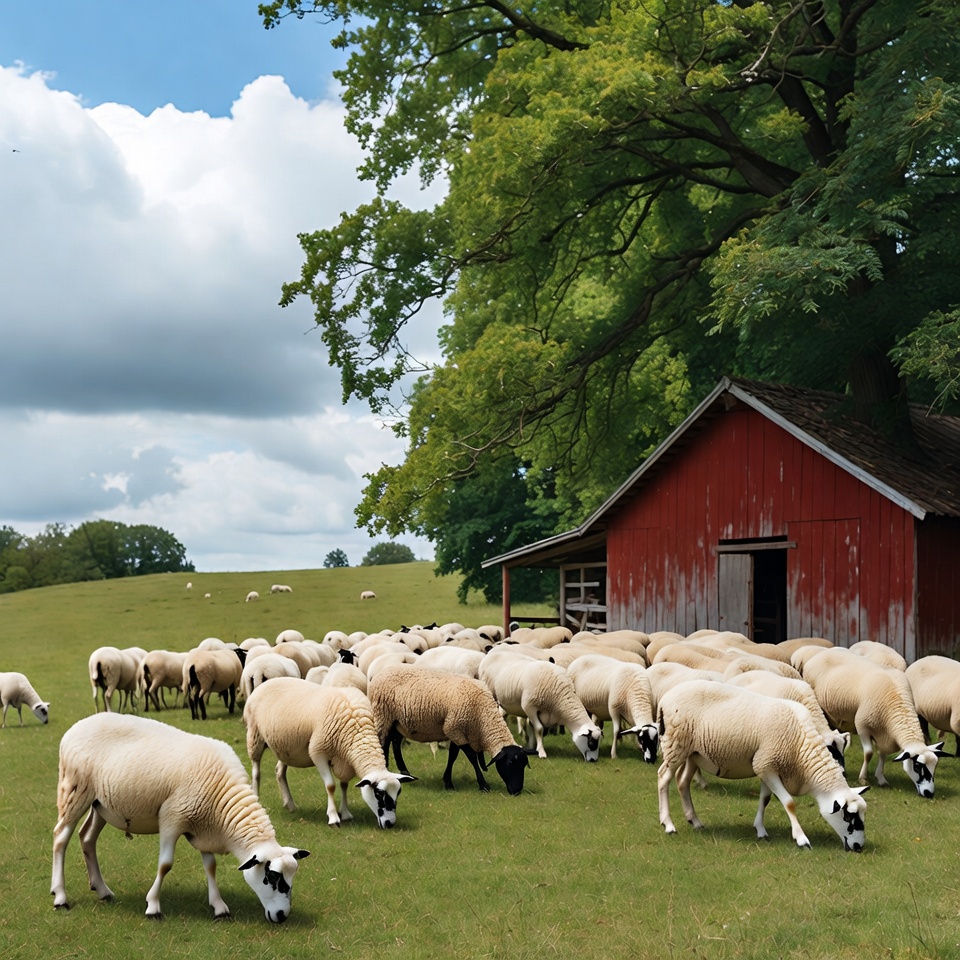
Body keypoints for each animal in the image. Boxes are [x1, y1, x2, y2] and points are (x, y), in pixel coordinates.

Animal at [51, 713, 309, 920]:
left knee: (87, 838)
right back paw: (60, 896)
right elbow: (165, 864)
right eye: (271, 878)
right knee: (60, 838)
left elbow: (211, 866)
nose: (282, 916)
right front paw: (153, 906)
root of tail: (75, 728)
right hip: (74, 789)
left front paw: (219, 907)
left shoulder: (204, 824)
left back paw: (102, 890)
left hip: (100, 803)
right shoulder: (172, 818)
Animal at [243, 677, 414, 827]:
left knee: (279, 772)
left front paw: (345, 813)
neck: (357, 729)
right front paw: (333, 817)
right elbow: (331, 786)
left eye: (398, 793)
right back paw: (257, 799)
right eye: (379, 794)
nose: (390, 824)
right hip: (255, 736)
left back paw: (290, 805)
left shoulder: (345, 760)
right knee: (256, 772)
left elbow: (344, 785)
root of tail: (266, 683)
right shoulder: (318, 752)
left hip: (285, 748)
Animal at [368, 664, 530, 794]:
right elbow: (471, 757)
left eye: (524, 765)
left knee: (395, 743)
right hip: (383, 715)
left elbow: (453, 756)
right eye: (510, 764)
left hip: (399, 723)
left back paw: (405, 773)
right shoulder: (454, 728)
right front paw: (483, 785)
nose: (517, 791)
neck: (482, 715)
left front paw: (448, 782)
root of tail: (379, 674)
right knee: (383, 743)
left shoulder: (456, 730)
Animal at [657, 680, 869, 851]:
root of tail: (665, 698)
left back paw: (695, 820)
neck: (801, 748)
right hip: (674, 743)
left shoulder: (768, 766)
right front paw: (801, 839)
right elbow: (789, 803)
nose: (858, 847)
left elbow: (764, 799)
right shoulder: (765, 764)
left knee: (682, 782)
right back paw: (668, 824)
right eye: (849, 818)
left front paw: (760, 830)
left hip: (693, 754)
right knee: (664, 778)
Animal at [802, 647, 947, 794]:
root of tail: (823, 652)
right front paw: (863, 778)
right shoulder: (863, 726)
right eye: (917, 766)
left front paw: (881, 778)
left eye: (934, 767)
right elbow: (869, 753)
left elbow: (882, 754)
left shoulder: (883, 731)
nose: (929, 793)